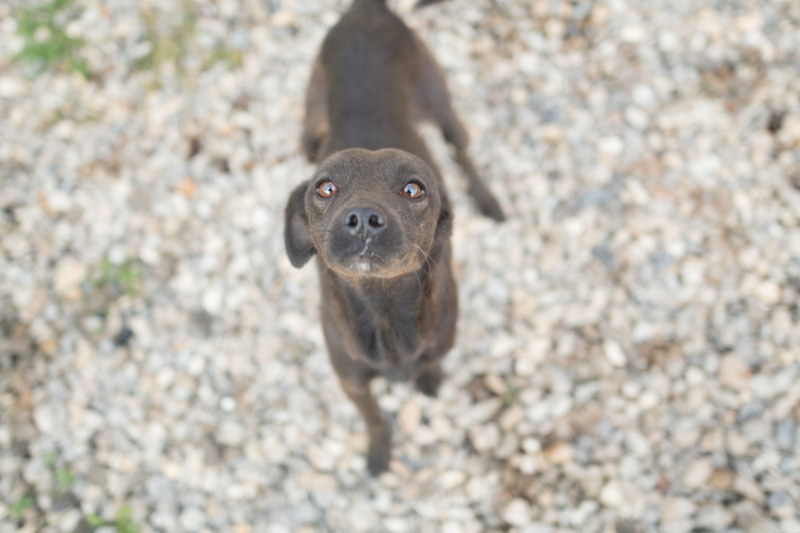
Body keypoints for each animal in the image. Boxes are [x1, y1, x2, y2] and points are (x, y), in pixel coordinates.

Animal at [284, 0, 504, 474]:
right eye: (324, 188)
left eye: (413, 189)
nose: (364, 219)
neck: (383, 306)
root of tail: (368, 7)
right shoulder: (351, 381)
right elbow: (374, 418)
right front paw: (379, 452)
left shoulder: (439, 345)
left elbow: (430, 366)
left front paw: (429, 380)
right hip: (308, 125)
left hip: (441, 104)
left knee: (462, 150)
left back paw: (488, 199)